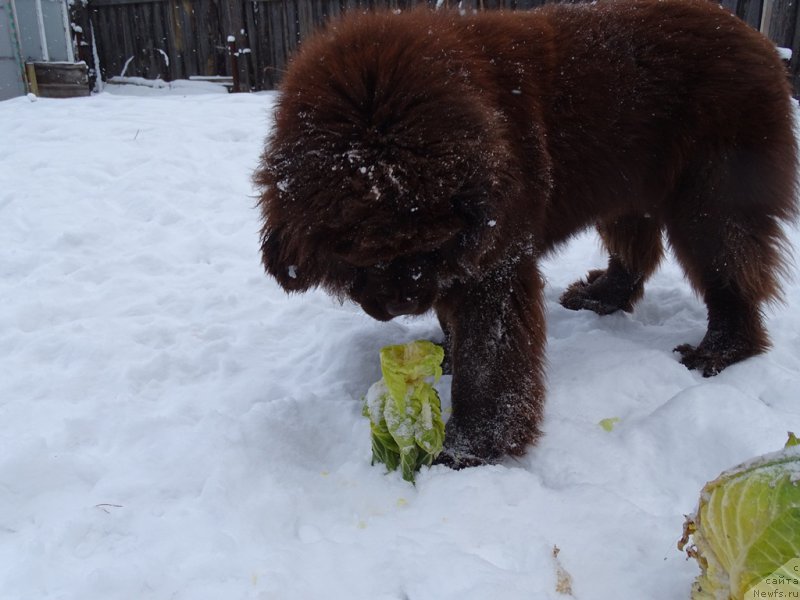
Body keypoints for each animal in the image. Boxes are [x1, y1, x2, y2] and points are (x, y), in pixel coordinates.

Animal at [256, 0, 800, 466]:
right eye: (357, 254)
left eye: (428, 244)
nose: (405, 302)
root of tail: (757, 39)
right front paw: (445, 357)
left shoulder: (491, 264)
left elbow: (489, 360)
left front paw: (466, 448)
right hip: (628, 182)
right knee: (635, 253)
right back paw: (602, 296)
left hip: (713, 197)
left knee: (730, 270)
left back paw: (719, 350)